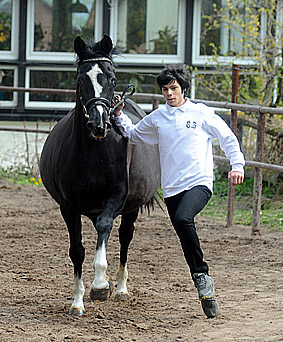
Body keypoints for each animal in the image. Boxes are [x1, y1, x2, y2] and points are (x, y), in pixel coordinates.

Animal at [39, 34, 161, 316]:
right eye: (80, 80)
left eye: (112, 78)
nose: (98, 123)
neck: (94, 153)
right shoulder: (68, 207)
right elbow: (77, 251)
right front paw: (77, 302)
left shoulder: (116, 197)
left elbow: (105, 229)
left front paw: (100, 286)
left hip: (131, 209)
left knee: (124, 238)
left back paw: (122, 289)